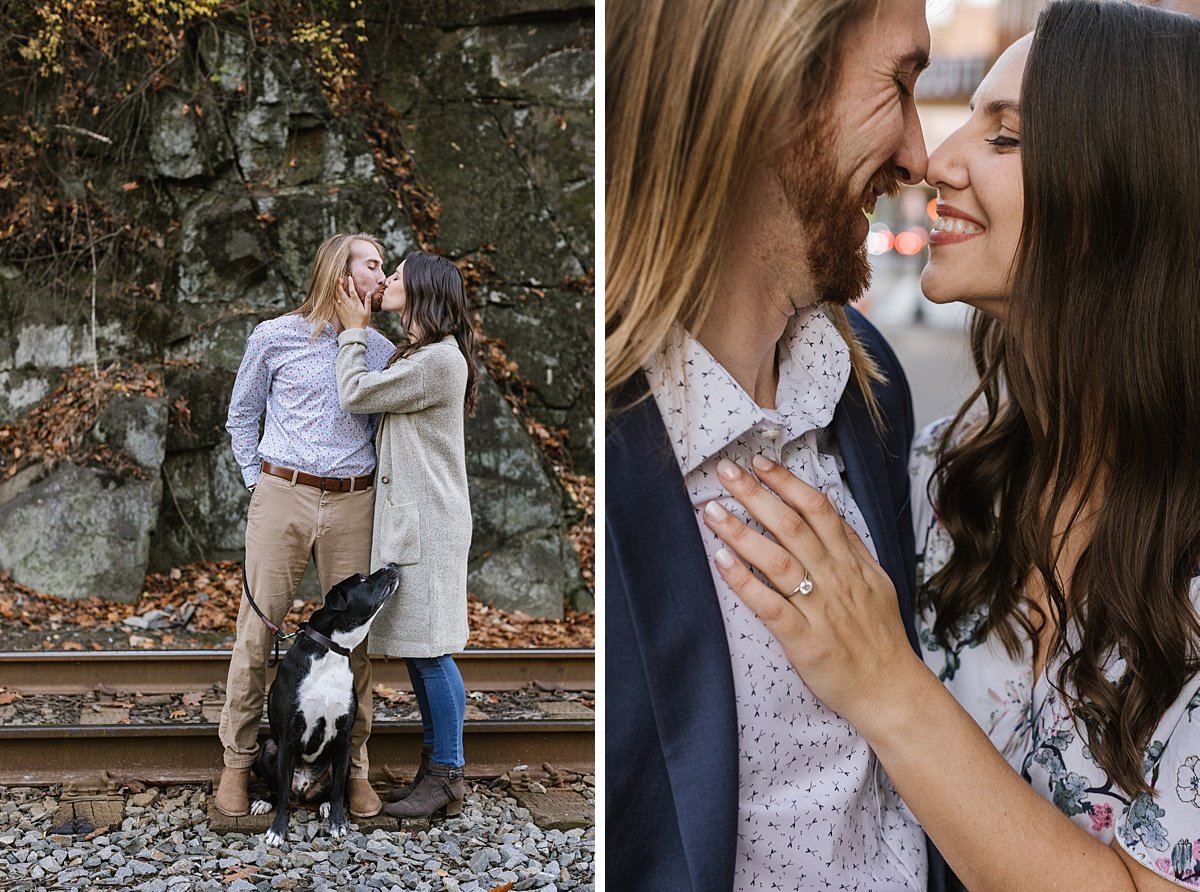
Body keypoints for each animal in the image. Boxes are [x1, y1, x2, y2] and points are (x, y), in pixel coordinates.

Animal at [248, 561, 398, 849]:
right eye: (362, 579)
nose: (393, 564)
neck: (332, 650)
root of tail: (304, 787)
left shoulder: (343, 738)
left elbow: (339, 788)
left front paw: (338, 822)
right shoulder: (288, 738)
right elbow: (283, 796)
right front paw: (278, 830)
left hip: (344, 758)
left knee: (328, 790)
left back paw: (325, 805)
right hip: (268, 748)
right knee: (279, 789)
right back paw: (264, 801)